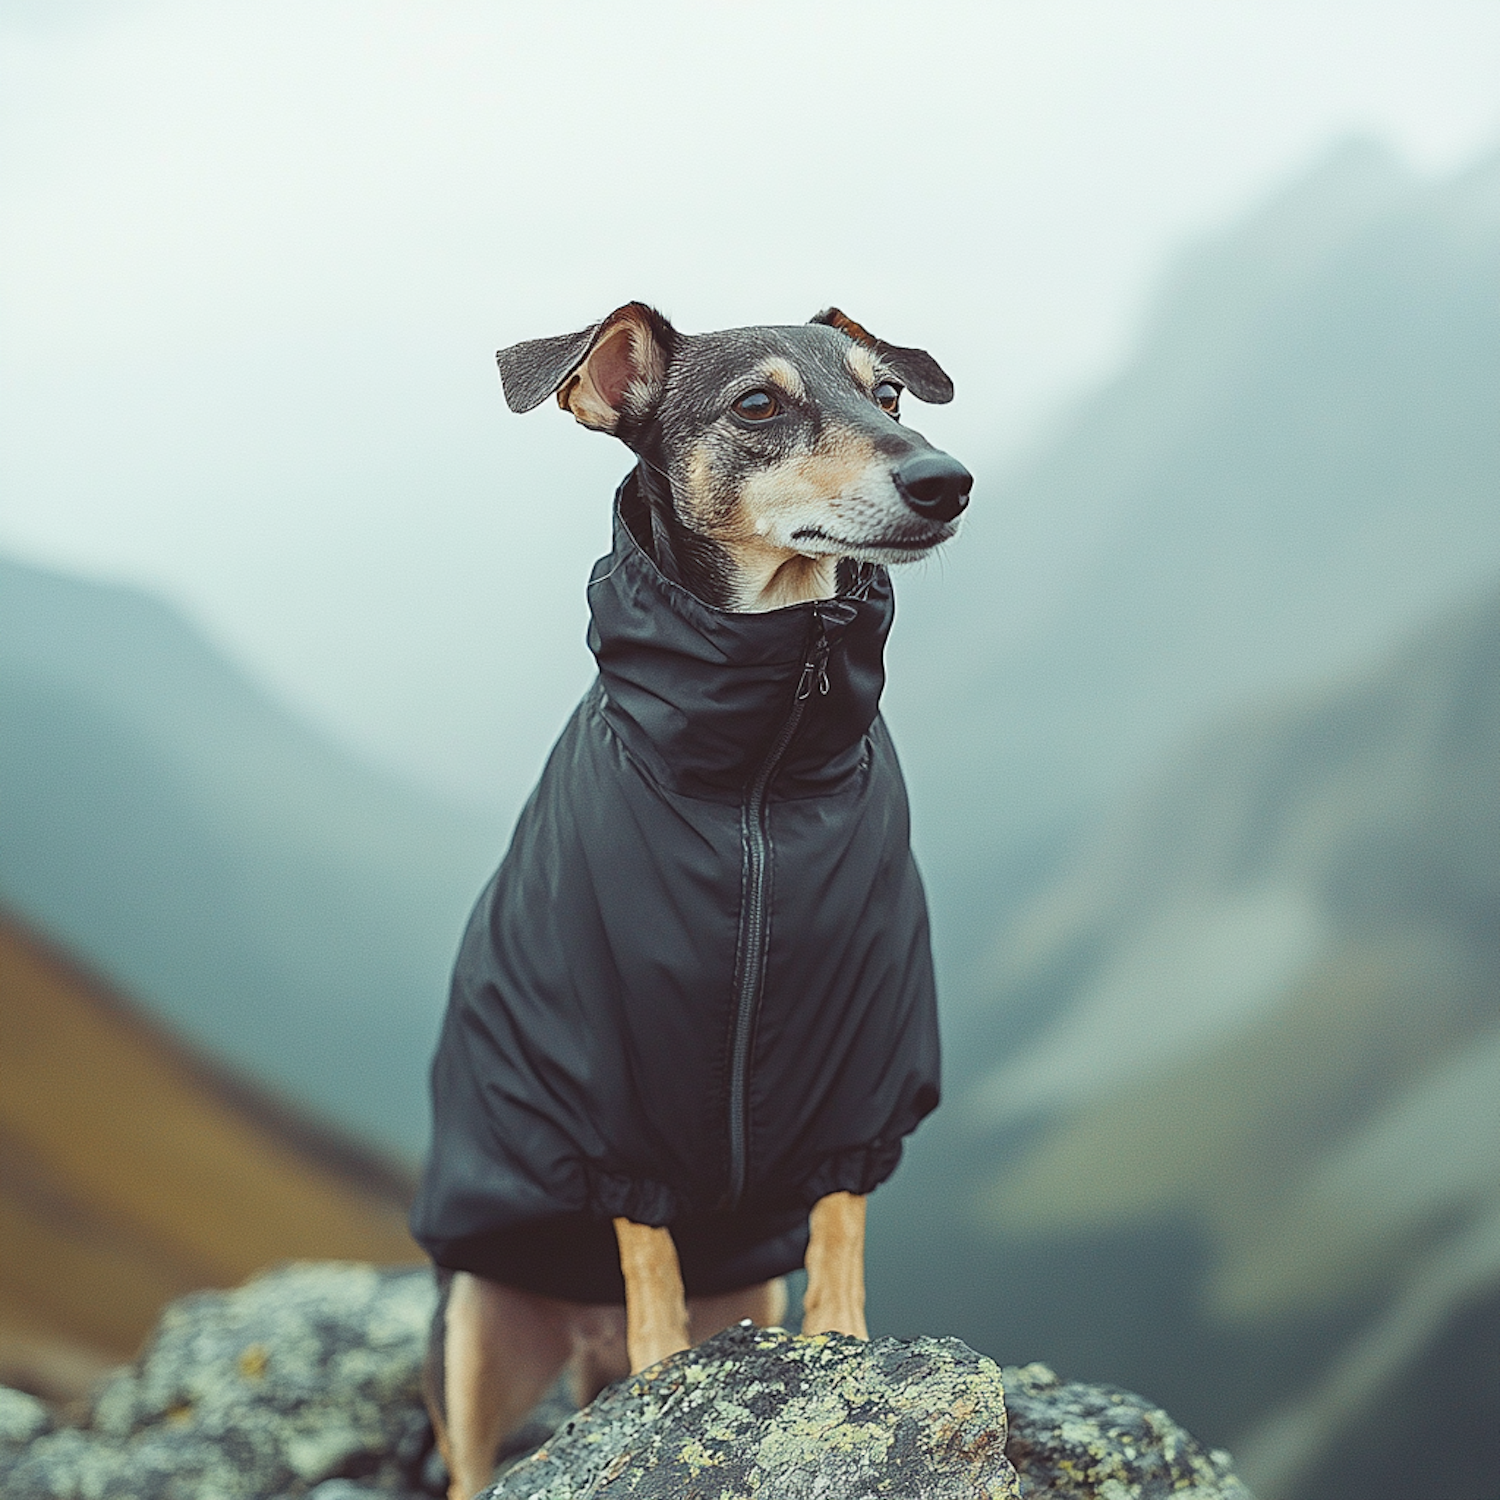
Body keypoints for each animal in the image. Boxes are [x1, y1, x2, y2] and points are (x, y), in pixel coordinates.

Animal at [411, 307, 972, 1500]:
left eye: (890, 395)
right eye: (757, 405)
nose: (947, 479)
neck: (761, 766)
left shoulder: (864, 1061)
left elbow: (840, 1228)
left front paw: (847, 1348)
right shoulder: (607, 1089)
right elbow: (650, 1262)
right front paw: (665, 1379)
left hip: (740, 1291)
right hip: (474, 1325)